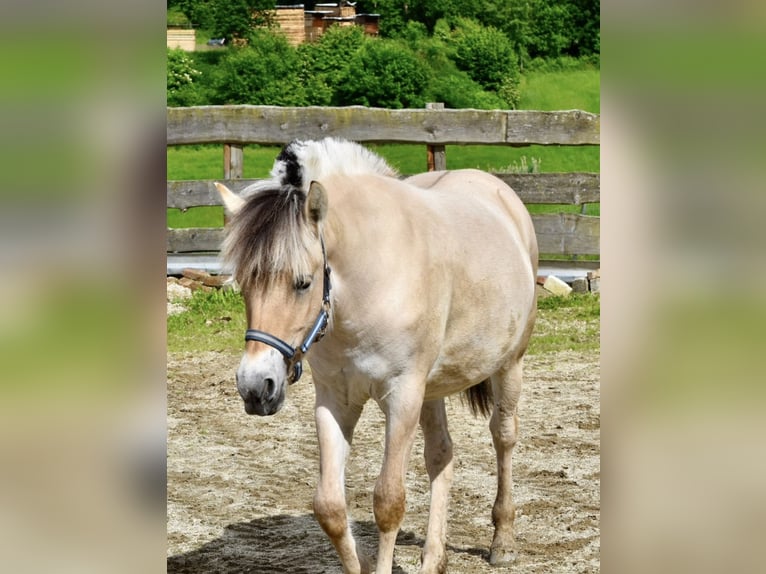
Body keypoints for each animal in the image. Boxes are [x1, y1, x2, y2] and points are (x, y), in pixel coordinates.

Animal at [215, 137, 538, 574]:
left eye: (303, 283)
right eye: (244, 283)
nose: (254, 388)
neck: (370, 282)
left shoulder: (401, 397)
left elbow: (388, 502)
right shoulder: (335, 400)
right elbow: (329, 507)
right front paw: (364, 561)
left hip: (509, 366)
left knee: (503, 437)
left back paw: (502, 541)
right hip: (431, 391)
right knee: (441, 456)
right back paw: (433, 559)